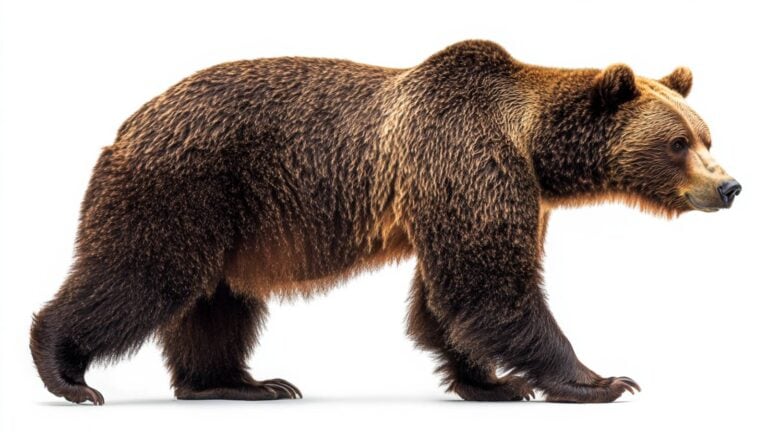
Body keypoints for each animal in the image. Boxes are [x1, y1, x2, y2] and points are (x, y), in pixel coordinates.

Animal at [28, 39, 736, 404]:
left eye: (706, 135)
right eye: (678, 142)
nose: (728, 186)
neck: (534, 147)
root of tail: (128, 124)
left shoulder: (498, 193)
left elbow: (446, 299)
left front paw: (490, 382)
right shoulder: (469, 159)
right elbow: (491, 286)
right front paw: (600, 379)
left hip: (231, 219)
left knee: (219, 303)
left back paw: (242, 384)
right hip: (183, 188)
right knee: (140, 277)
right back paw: (66, 372)